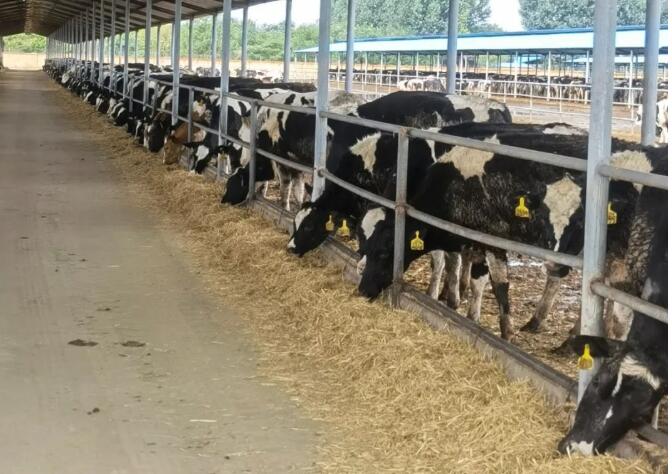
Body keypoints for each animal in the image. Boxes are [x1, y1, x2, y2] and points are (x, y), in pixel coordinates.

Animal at [356, 123, 665, 340]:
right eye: (364, 245)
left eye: (385, 251)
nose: (362, 289)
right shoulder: (474, 239)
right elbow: (474, 277)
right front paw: (469, 313)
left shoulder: (492, 237)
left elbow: (497, 285)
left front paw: (503, 330)